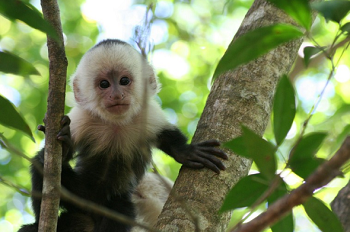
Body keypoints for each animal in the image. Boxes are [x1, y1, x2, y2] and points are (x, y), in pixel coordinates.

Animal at [18, 40, 227, 232]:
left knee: (120, 210)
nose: (117, 95)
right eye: (104, 84)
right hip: (80, 193)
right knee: (41, 164)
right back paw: (39, 223)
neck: (115, 124)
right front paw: (65, 145)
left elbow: (167, 136)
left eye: (124, 81)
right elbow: (55, 153)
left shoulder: (148, 114)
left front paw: (187, 152)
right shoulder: (82, 117)